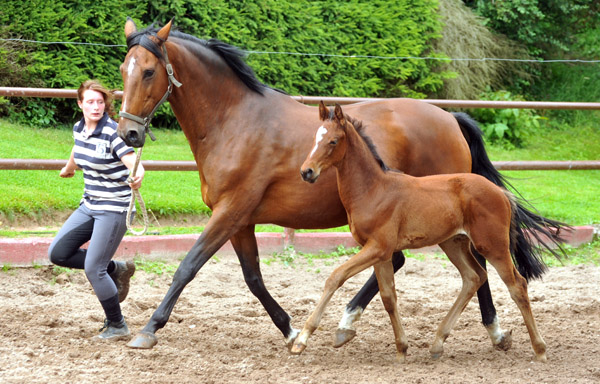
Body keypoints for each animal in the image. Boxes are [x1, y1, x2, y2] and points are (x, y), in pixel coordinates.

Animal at [296, 102, 548, 364]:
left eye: (333, 141)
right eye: (315, 138)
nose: (306, 171)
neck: (373, 190)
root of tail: (501, 193)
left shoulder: (378, 247)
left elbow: (336, 277)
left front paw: (301, 340)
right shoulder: (380, 253)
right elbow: (388, 297)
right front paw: (401, 348)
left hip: (493, 245)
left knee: (517, 285)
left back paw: (539, 349)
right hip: (454, 243)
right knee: (474, 277)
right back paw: (437, 343)